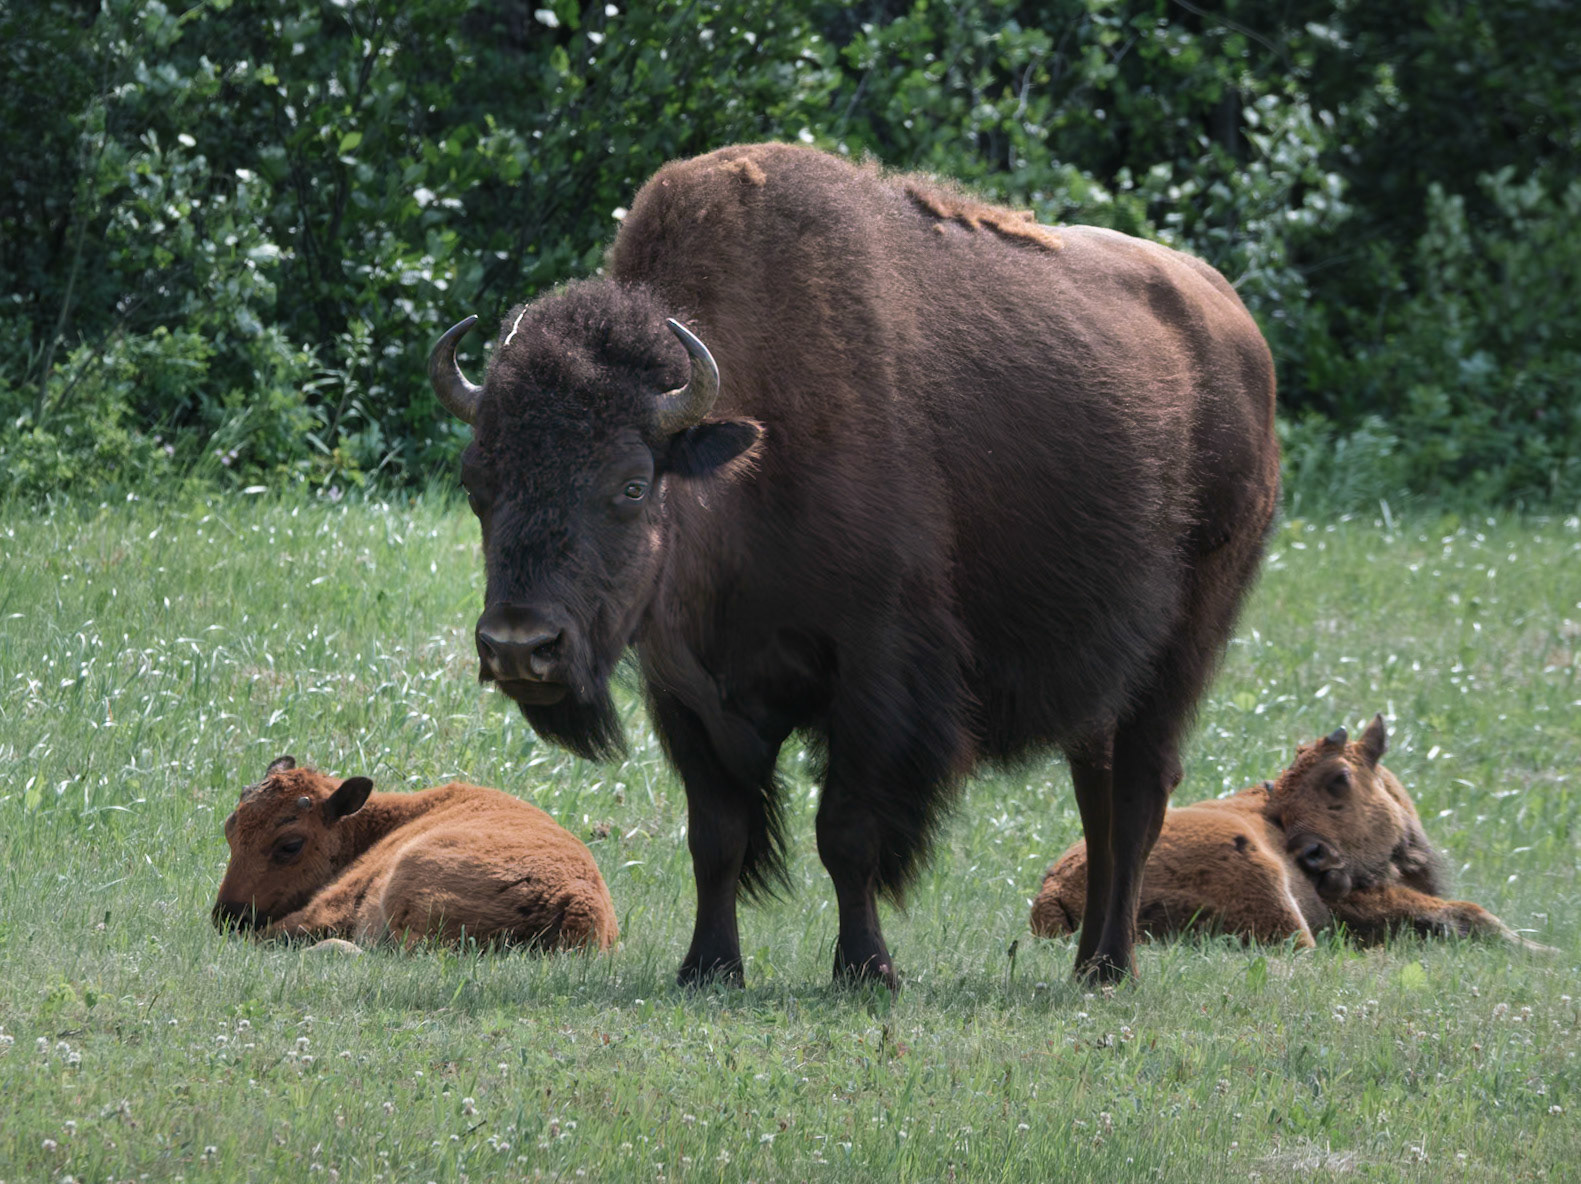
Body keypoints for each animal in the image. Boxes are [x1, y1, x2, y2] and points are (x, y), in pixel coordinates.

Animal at [429, 143, 1279, 986]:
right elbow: (716, 834)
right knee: (1095, 790)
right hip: (1102, 669)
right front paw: (708, 968)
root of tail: (1235, 328)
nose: (518, 646)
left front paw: (868, 970)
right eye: (477, 483)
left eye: (632, 486)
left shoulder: (876, 675)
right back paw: (1084, 964)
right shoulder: (688, 692)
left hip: (1185, 643)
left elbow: (846, 831)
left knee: (1136, 791)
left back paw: (1109, 967)